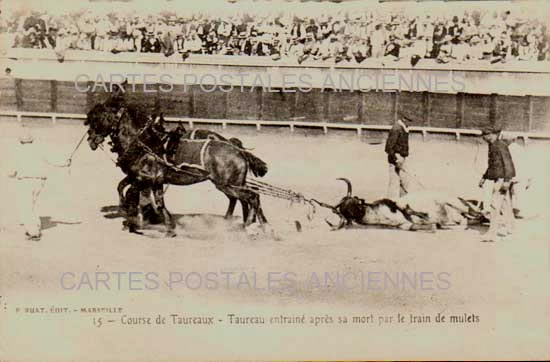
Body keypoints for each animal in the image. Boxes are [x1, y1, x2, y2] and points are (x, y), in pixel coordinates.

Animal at [85, 102, 272, 235]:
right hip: (232, 184)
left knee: (252, 197)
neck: (144, 143)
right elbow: (151, 199)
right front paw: (167, 226)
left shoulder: (143, 179)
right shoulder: (152, 180)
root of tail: (238, 150)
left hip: (227, 185)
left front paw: (133, 220)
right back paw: (254, 225)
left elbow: (132, 193)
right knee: (245, 199)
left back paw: (249, 225)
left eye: (98, 118)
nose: (90, 140)